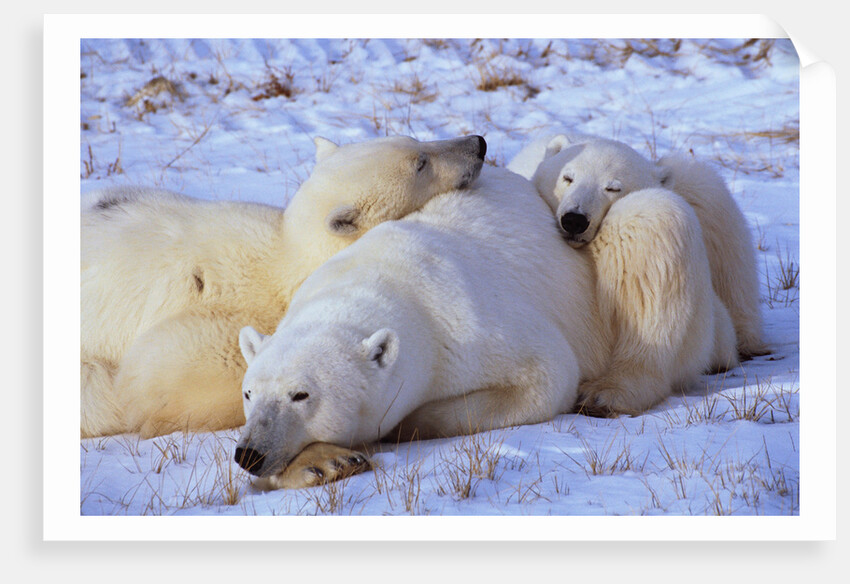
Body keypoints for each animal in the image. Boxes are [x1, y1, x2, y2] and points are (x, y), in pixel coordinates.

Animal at [232, 166, 611, 489]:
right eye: (249, 393)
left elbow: (546, 376)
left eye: (300, 394)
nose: (249, 454)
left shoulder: (472, 325)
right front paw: (326, 463)